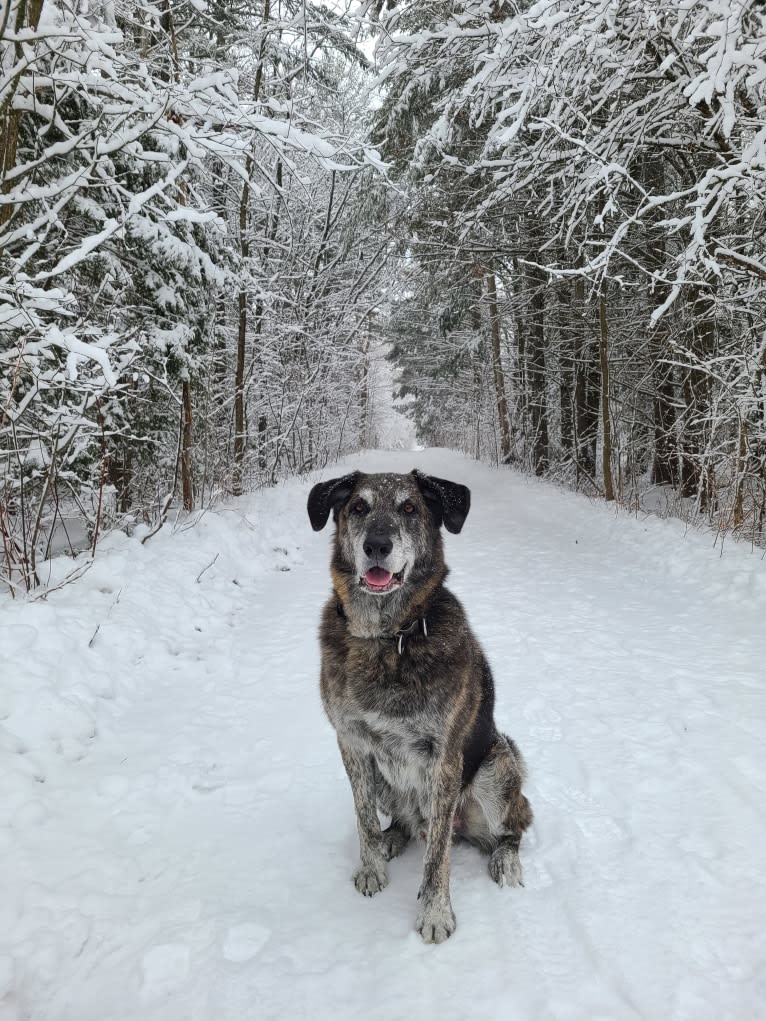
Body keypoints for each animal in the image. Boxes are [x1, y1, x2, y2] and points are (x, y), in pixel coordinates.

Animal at [308, 467, 535, 943]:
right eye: (358, 507)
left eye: (410, 507)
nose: (377, 545)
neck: (388, 637)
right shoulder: (352, 743)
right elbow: (363, 818)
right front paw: (372, 867)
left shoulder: (443, 758)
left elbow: (437, 858)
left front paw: (435, 914)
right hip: (387, 783)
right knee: (409, 826)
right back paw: (392, 838)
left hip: (497, 764)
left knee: (512, 825)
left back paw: (505, 861)